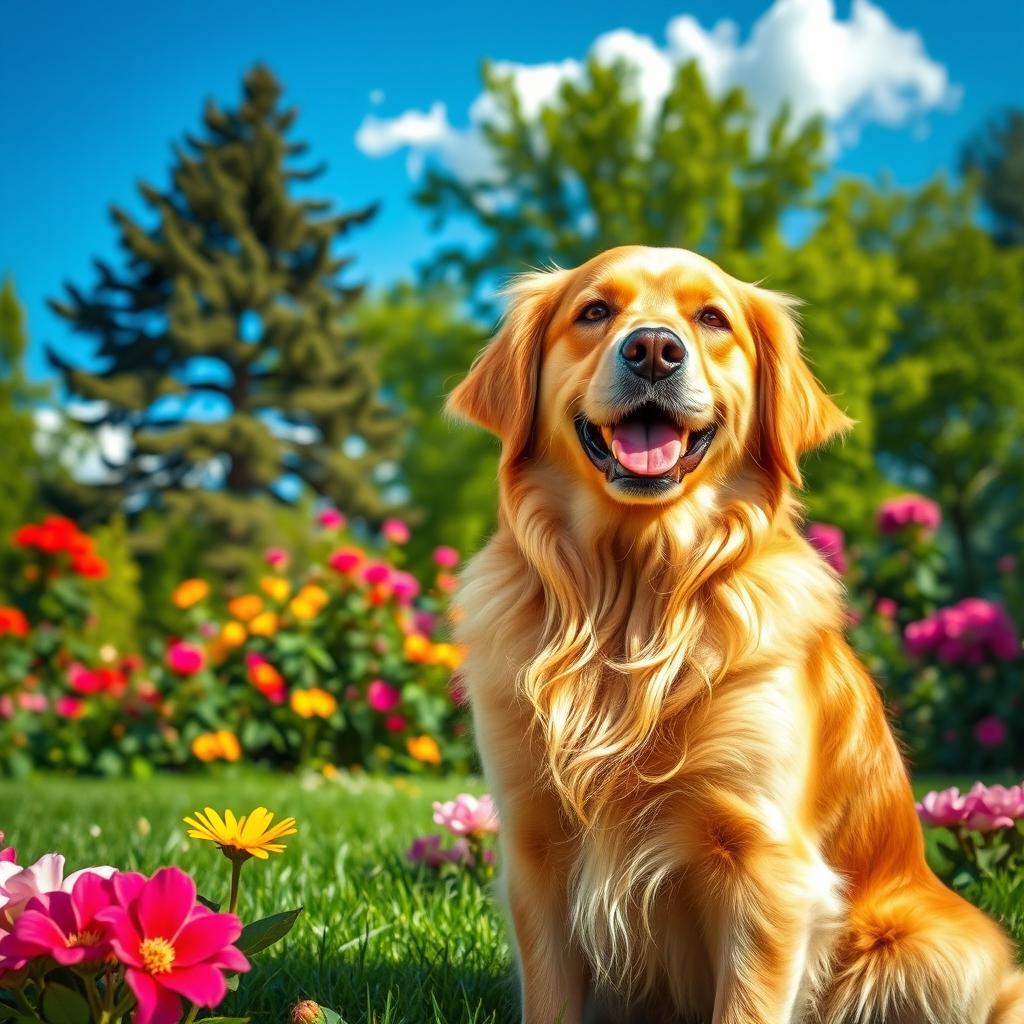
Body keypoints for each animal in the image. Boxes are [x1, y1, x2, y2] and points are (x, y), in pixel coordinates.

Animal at [446, 247, 1024, 1024]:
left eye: (712, 319)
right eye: (594, 311)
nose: (652, 350)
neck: (634, 598)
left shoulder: (764, 861)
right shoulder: (535, 846)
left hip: (933, 947)